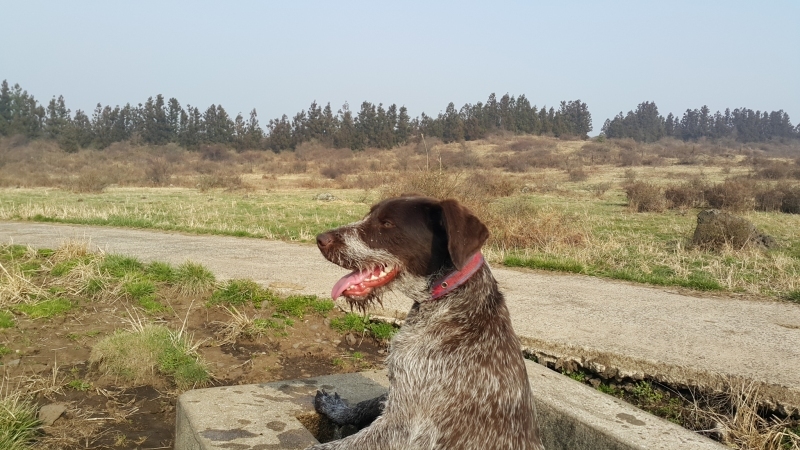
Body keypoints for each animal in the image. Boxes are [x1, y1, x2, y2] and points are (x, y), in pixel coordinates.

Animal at [309, 196, 544, 450]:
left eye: (387, 223)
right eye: (369, 216)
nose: (320, 239)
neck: (447, 298)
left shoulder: (402, 426)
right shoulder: (401, 393)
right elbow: (369, 403)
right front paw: (338, 409)